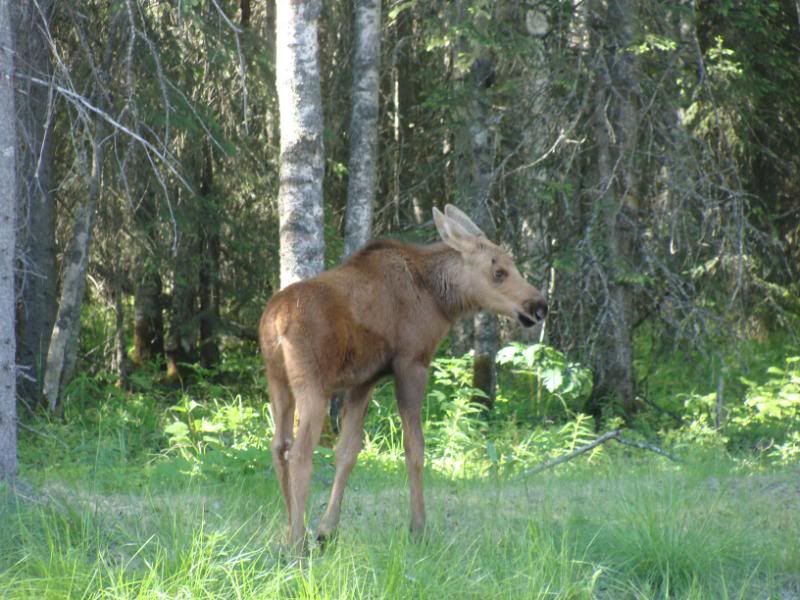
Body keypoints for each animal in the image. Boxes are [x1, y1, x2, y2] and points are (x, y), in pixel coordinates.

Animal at [259, 204, 548, 551]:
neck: (442, 300)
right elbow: (415, 448)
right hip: (312, 385)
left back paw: (290, 529)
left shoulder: (364, 381)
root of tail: (275, 320)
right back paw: (298, 542)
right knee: (300, 454)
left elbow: (347, 452)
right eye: (499, 272)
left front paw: (328, 529)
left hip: (278, 382)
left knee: (279, 446)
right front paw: (418, 526)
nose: (540, 306)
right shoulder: (412, 364)